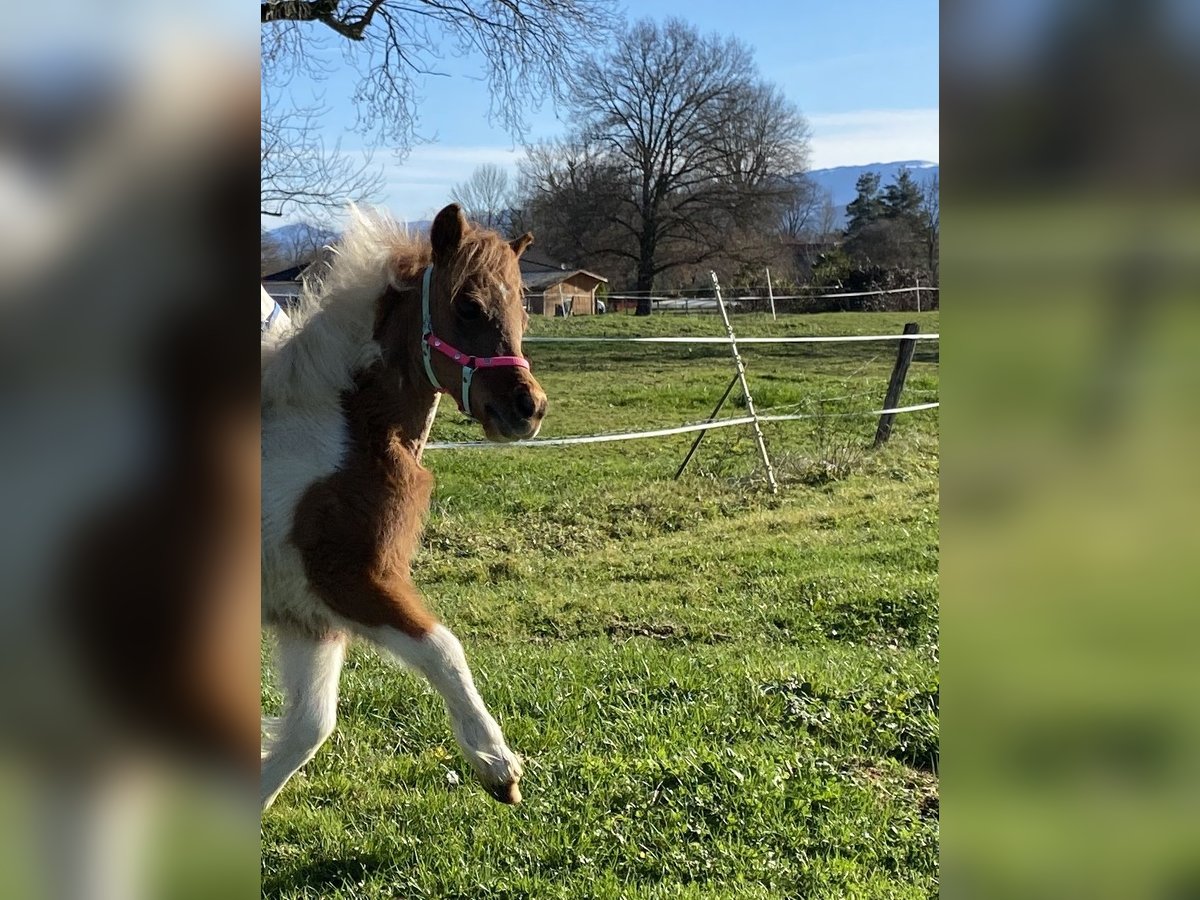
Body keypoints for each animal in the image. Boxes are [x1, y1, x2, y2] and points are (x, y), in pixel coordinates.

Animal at [260, 203, 546, 810]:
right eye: (467, 305)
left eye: (523, 310)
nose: (526, 409)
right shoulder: (351, 581)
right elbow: (443, 649)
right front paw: (498, 766)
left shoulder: (309, 615)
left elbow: (308, 727)